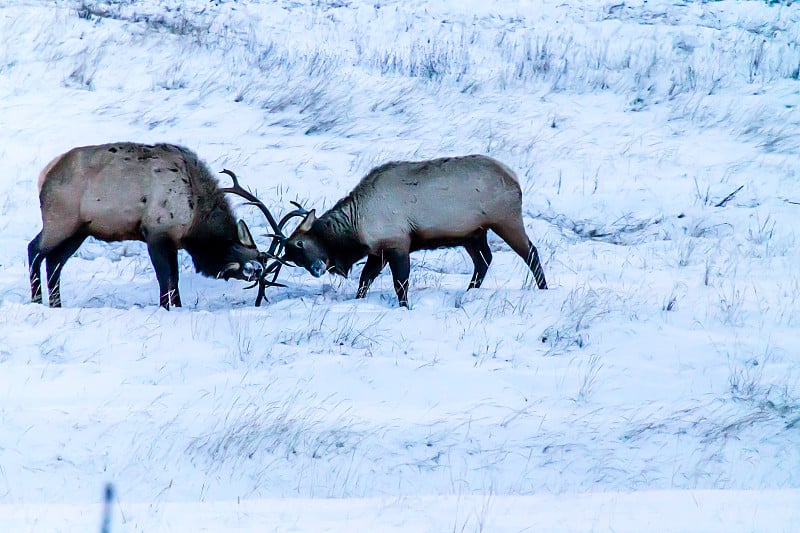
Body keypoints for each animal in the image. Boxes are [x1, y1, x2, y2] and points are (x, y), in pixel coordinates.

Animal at [29, 141, 296, 308]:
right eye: (257, 266)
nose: (256, 275)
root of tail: (44, 173)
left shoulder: (173, 242)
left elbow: (174, 279)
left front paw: (176, 305)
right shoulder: (156, 233)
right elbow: (165, 278)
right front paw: (166, 307)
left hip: (80, 230)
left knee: (54, 262)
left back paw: (56, 303)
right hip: (60, 220)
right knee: (35, 250)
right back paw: (37, 300)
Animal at [282, 153, 552, 308]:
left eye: (300, 244)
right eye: (294, 258)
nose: (317, 270)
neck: (357, 228)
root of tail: (514, 177)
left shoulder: (398, 243)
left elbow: (400, 283)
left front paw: (404, 307)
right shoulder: (378, 251)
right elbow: (365, 279)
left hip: (506, 219)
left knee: (531, 253)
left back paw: (544, 289)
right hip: (473, 234)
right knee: (484, 260)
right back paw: (468, 293)